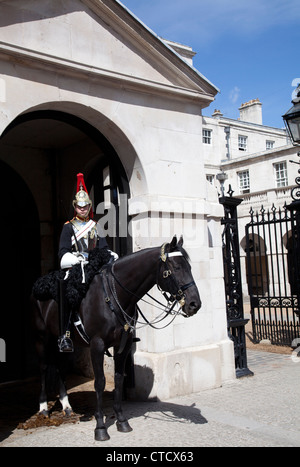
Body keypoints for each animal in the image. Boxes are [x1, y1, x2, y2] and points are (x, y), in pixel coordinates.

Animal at [31, 238, 202, 442]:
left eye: (189, 267)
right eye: (175, 268)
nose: (195, 304)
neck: (116, 295)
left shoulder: (124, 345)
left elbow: (119, 379)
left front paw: (121, 420)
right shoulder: (97, 346)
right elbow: (100, 382)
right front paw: (100, 427)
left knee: (59, 366)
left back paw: (66, 406)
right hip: (42, 337)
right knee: (43, 367)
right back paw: (43, 408)